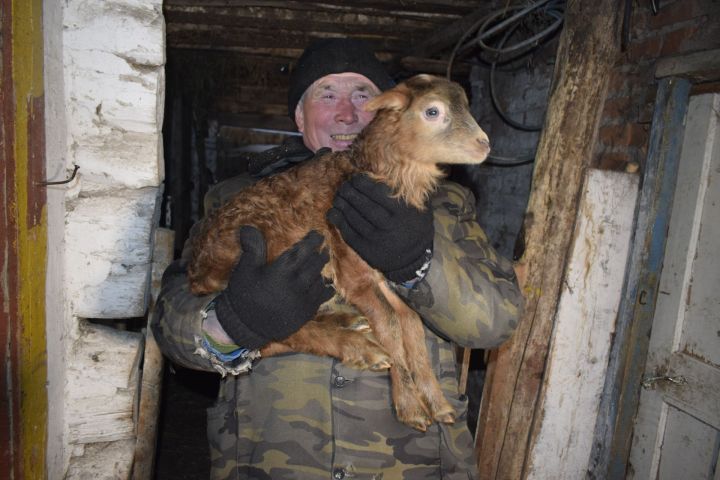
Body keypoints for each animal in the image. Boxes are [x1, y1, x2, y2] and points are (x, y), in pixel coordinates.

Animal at [187, 75, 490, 432]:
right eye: (433, 111)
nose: (485, 144)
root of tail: (198, 274)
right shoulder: (353, 271)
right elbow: (390, 324)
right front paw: (410, 405)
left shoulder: (382, 268)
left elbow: (410, 320)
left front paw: (438, 404)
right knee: (269, 332)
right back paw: (362, 348)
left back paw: (351, 322)